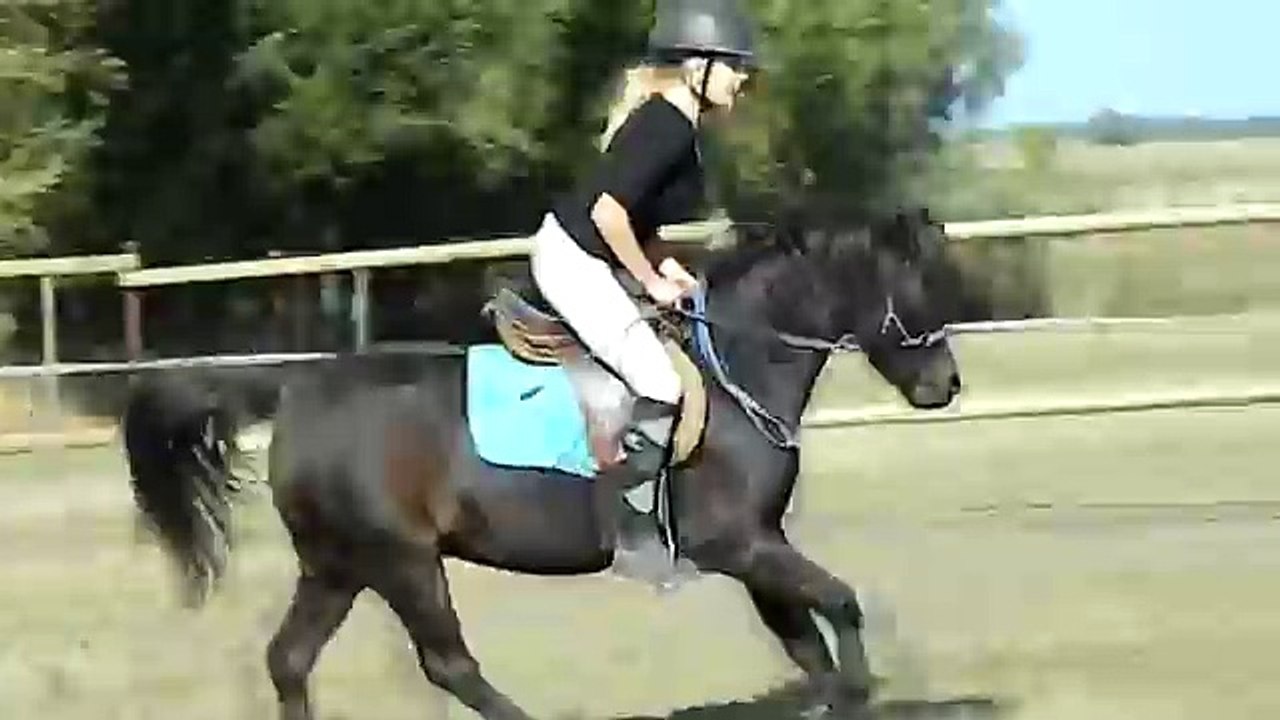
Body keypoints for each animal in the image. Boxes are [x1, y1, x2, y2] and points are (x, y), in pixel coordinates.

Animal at [120, 205, 963, 720]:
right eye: (918, 286)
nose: (944, 385)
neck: (736, 371)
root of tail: (296, 387)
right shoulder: (739, 543)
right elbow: (841, 606)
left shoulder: (757, 547)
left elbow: (808, 642)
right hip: (401, 561)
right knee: (448, 664)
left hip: (339, 565)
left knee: (290, 660)